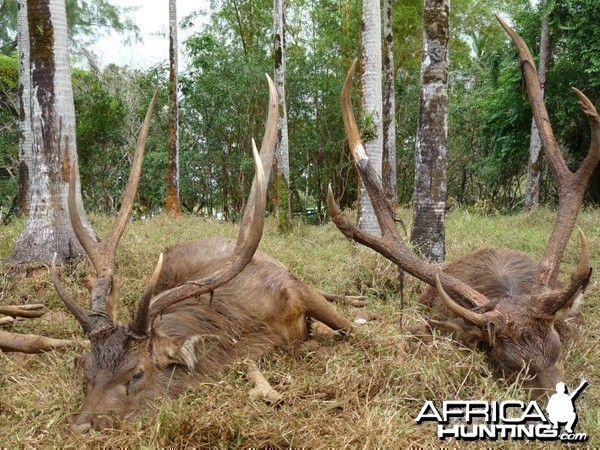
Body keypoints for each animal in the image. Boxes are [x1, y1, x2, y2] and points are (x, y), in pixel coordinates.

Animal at [51, 77, 354, 432]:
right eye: (86, 372)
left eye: (137, 373)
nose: (80, 427)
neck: (250, 325)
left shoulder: (295, 286)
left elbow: (351, 328)